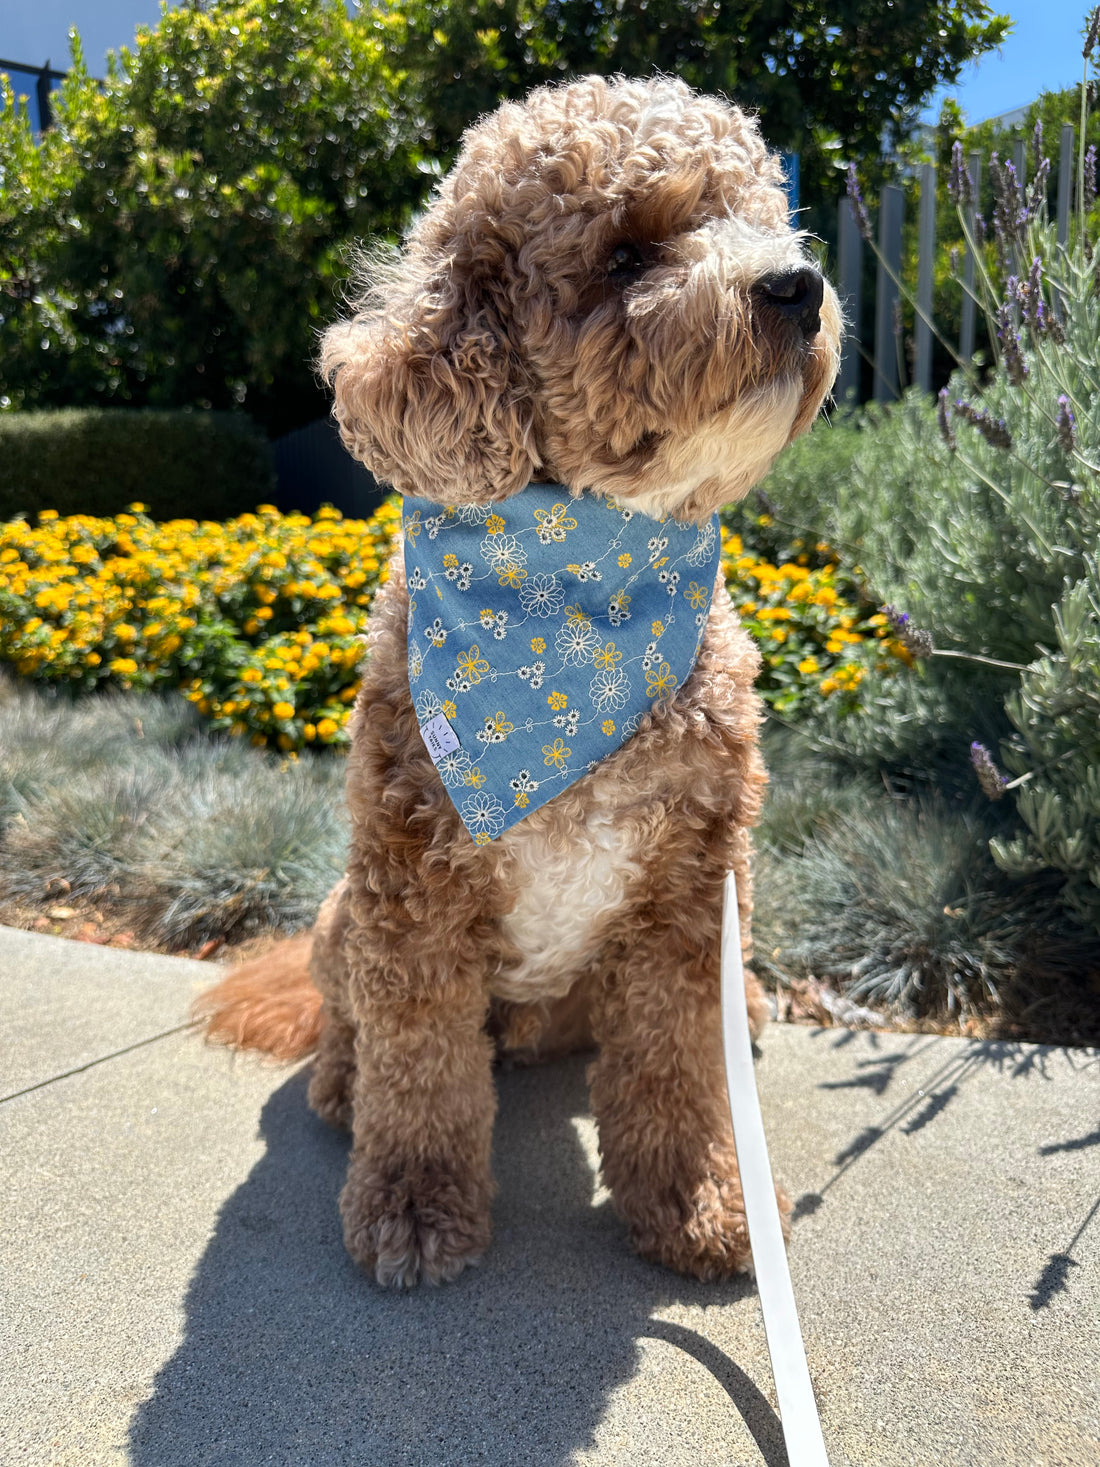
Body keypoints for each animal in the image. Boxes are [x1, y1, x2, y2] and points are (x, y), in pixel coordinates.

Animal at [198, 74, 838, 1285]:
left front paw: (700, 1198)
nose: (798, 284)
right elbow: (419, 1068)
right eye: (627, 254)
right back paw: (340, 1084)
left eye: (760, 217)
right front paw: (411, 1204)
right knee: (351, 1027)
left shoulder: (689, 894)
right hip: (340, 916)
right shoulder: (410, 890)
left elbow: (675, 1070)